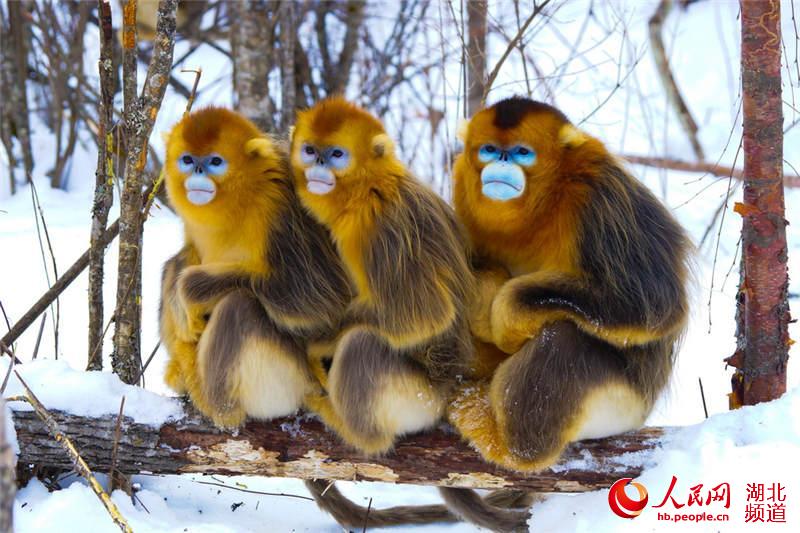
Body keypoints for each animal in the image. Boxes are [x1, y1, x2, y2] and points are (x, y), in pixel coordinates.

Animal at [161, 108, 352, 428]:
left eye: (215, 162)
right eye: (187, 159)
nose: (197, 171)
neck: (244, 197)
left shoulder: (282, 212)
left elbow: (320, 303)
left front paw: (189, 290)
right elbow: (184, 258)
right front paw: (178, 299)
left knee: (239, 305)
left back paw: (220, 408)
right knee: (172, 265)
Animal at [446, 94, 692, 474]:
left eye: (522, 152)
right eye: (489, 149)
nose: (501, 160)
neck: (545, 201)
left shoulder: (599, 193)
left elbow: (656, 303)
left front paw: (504, 318)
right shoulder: (461, 183)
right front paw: (487, 297)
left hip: (624, 405)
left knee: (563, 342)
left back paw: (507, 445)